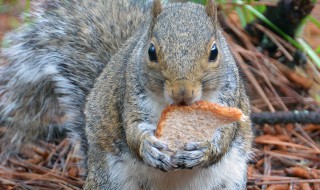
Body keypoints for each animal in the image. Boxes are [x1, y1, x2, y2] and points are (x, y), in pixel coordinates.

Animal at [1, 0, 254, 190]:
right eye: (151, 51)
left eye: (214, 52)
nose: (182, 92)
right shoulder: (130, 97)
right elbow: (132, 131)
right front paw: (148, 148)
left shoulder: (230, 98)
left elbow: (225, 135)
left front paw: (203, 151)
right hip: (109, 180)